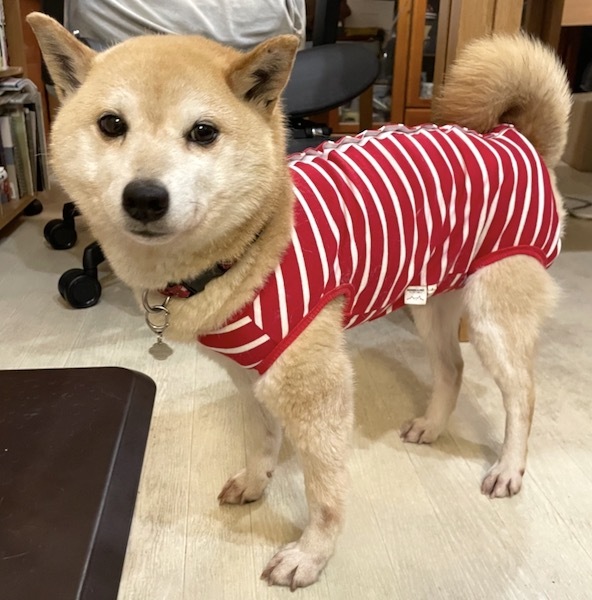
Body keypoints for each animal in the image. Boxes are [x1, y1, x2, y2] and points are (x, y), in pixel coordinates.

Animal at [28, 13, 571, 589]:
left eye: (203, 132)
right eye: (111, 124)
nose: (145, 197)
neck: (247, 248)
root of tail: (518, 139)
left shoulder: (317, 393)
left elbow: (325, 496)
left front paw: (310, 556)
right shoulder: (249, 377)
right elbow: (261, 442)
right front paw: (255, 482)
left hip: (493, 319)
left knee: (522, 397)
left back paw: (509, 467)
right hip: (430, 303)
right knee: (453, 369)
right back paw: (432, 425)